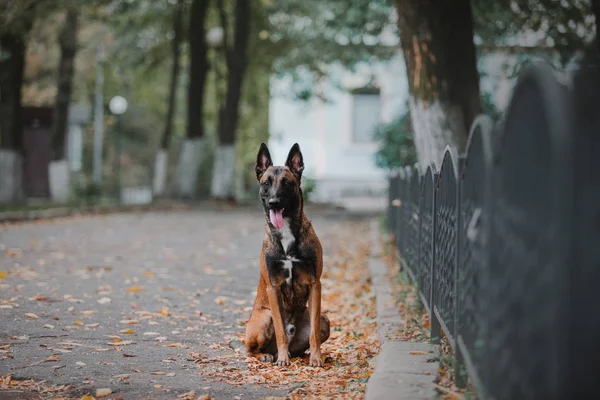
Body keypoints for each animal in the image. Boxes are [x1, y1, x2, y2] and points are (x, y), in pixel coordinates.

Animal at [244, 142, 330, 368]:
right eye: (266, 183)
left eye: (286, 183)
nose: (274, 202)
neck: (286, 234)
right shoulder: (273, 288)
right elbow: (281, 330)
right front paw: (283, 359)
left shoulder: (315, 284)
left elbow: (314, 333)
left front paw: (316, 357)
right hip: (263, 317)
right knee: (249, 350)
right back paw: (269, 355)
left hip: (325, 320)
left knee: (304, 342)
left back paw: (306, 355)